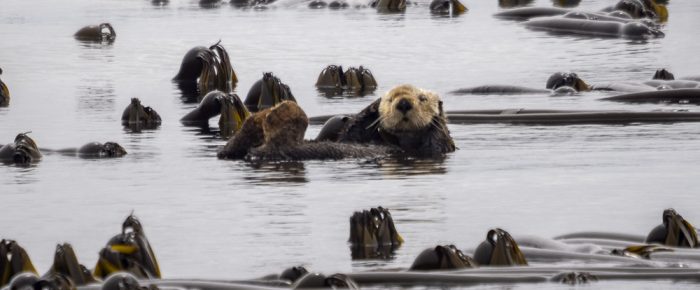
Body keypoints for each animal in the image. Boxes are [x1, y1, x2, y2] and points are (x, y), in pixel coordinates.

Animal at [1, 0, 700, 288]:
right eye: (395, 95)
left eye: (418, 98)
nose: (400, 103)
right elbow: (346, 132)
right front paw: (358, 115)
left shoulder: (433, 151)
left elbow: (436, 145)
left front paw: (418, 126)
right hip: (246, 146)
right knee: (245, 144)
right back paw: (249, 104)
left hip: (271, 152)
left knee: (266, 146)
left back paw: (279, 113)